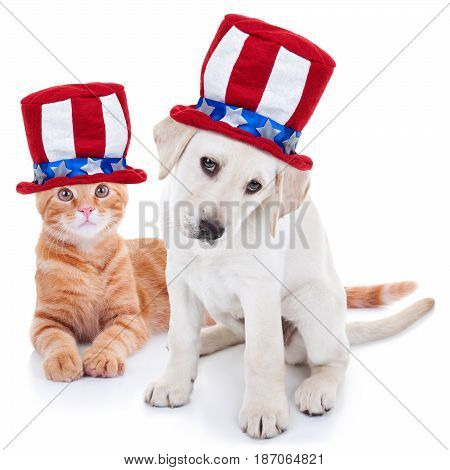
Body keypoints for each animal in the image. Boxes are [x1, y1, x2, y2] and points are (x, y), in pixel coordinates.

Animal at [31, 182, 169, 380]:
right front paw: (62, 360)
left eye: (101, 190)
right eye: (65, 194)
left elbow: (112, 336)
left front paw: (102, 357)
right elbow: (56, 338)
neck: (89, 255)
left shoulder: (128, 316)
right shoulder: (45, 320)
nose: (86, 209)